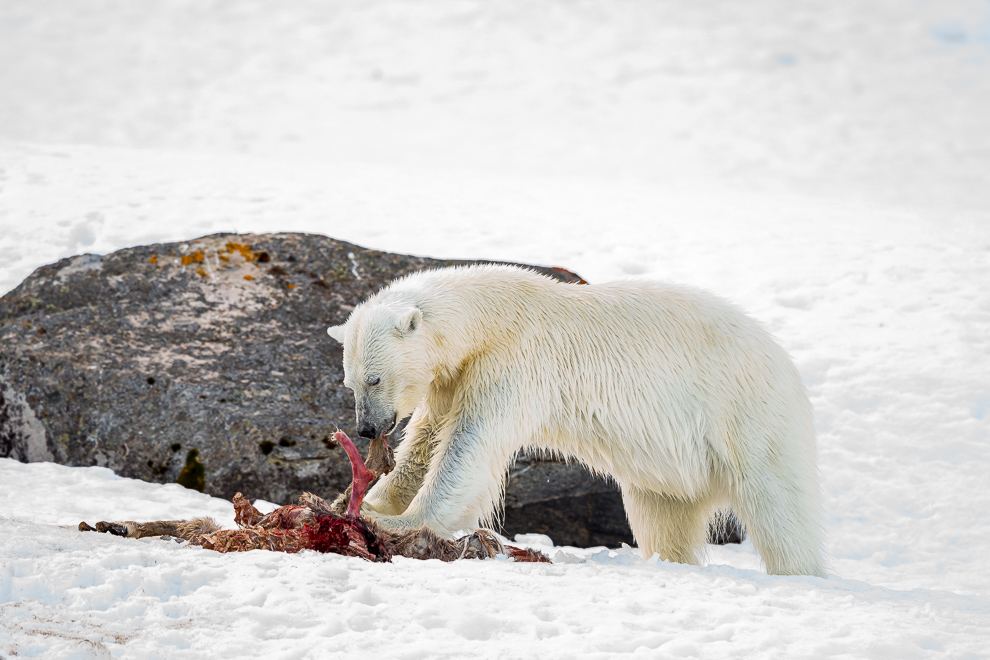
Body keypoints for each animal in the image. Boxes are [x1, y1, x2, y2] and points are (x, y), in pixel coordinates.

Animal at [328, 266, 828, 576]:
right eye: (349, 381)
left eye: (375, 377)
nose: (368, 428)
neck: (492, 316)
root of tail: (784, 363)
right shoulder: (452, 377)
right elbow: (424, 442)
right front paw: (362, 501)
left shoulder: (516, 362)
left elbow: (469, 447)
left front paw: (398, 523)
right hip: (672, 468)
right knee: (663, 516)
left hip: (748, 417)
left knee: (780, 509)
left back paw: (798, 572)